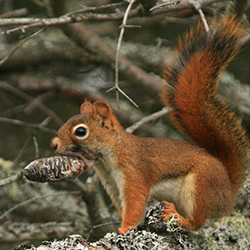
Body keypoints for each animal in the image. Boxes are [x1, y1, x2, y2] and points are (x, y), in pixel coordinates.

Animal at [50, 16, 250, 234]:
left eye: (80, 131)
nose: (54, 144)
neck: (110, 154)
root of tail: (228, 192)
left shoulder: (133, 173)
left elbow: (134, 204)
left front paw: (124, 229)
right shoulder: (112, 186)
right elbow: (122, 206)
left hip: (201, 185)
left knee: (197, 222)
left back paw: (178, 218)